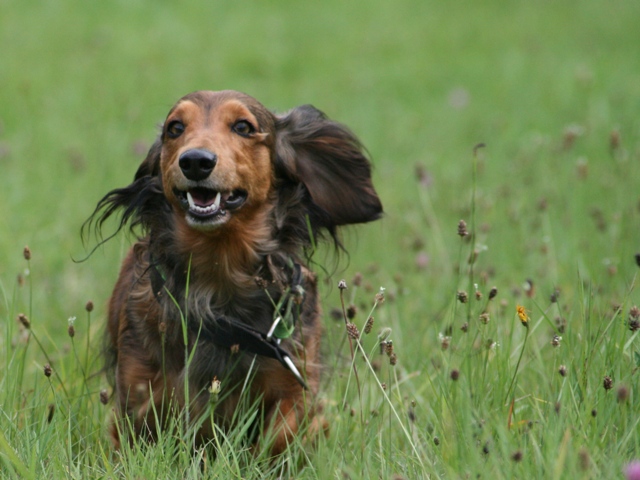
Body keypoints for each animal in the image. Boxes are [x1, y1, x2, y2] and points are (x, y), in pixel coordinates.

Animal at [87, 90, 382, 454]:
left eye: (243, 126)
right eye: (175, 128)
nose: (195, 161)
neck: (220, 276)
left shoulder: (294, 379)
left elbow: (281, 432)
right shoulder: (138, 391)